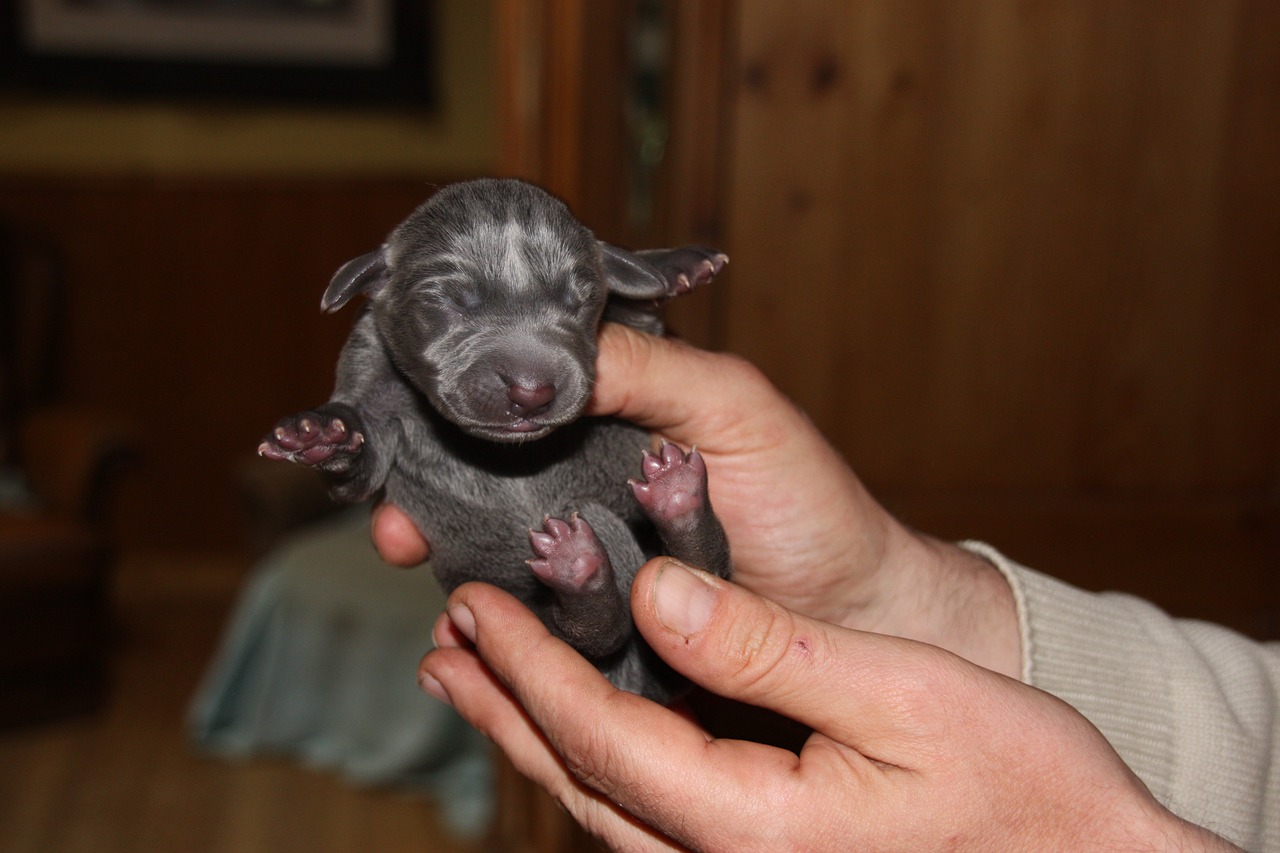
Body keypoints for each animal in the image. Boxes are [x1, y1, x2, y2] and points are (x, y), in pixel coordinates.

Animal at [257, 178, 732, 696]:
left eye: (579, 300)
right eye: (446, 301)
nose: (532, 391)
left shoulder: (640, 324)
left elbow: (640, 306)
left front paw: (672, 265)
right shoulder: (369, 361)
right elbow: (358, 467)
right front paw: (319, 434)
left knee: (695, 575)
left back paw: (672, 501)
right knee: (592, 633)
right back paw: (585, 564)